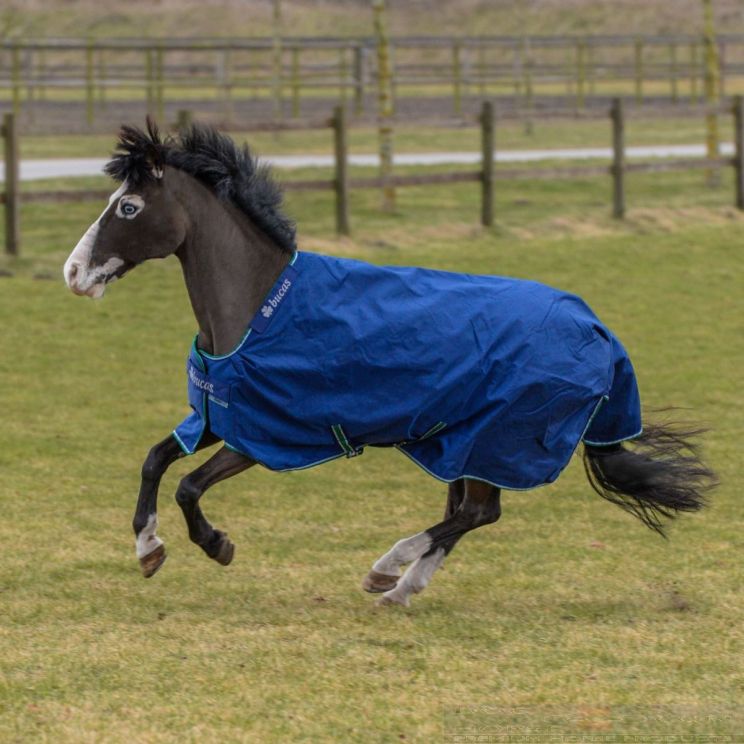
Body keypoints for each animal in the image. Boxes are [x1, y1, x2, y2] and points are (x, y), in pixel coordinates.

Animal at [63, 120, 716, 607]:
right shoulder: (218, 416)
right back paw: (400, 588)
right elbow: (155, 461)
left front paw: (216, 545)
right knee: (471, 512)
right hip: (463, 440)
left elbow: (189, 487)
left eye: (128, 207)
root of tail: (599, 331)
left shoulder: (265, 437)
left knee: (478, 511)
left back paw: (388, 567)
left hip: (497, 439)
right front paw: (148, 550)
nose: (73, 273)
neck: (260, 307)